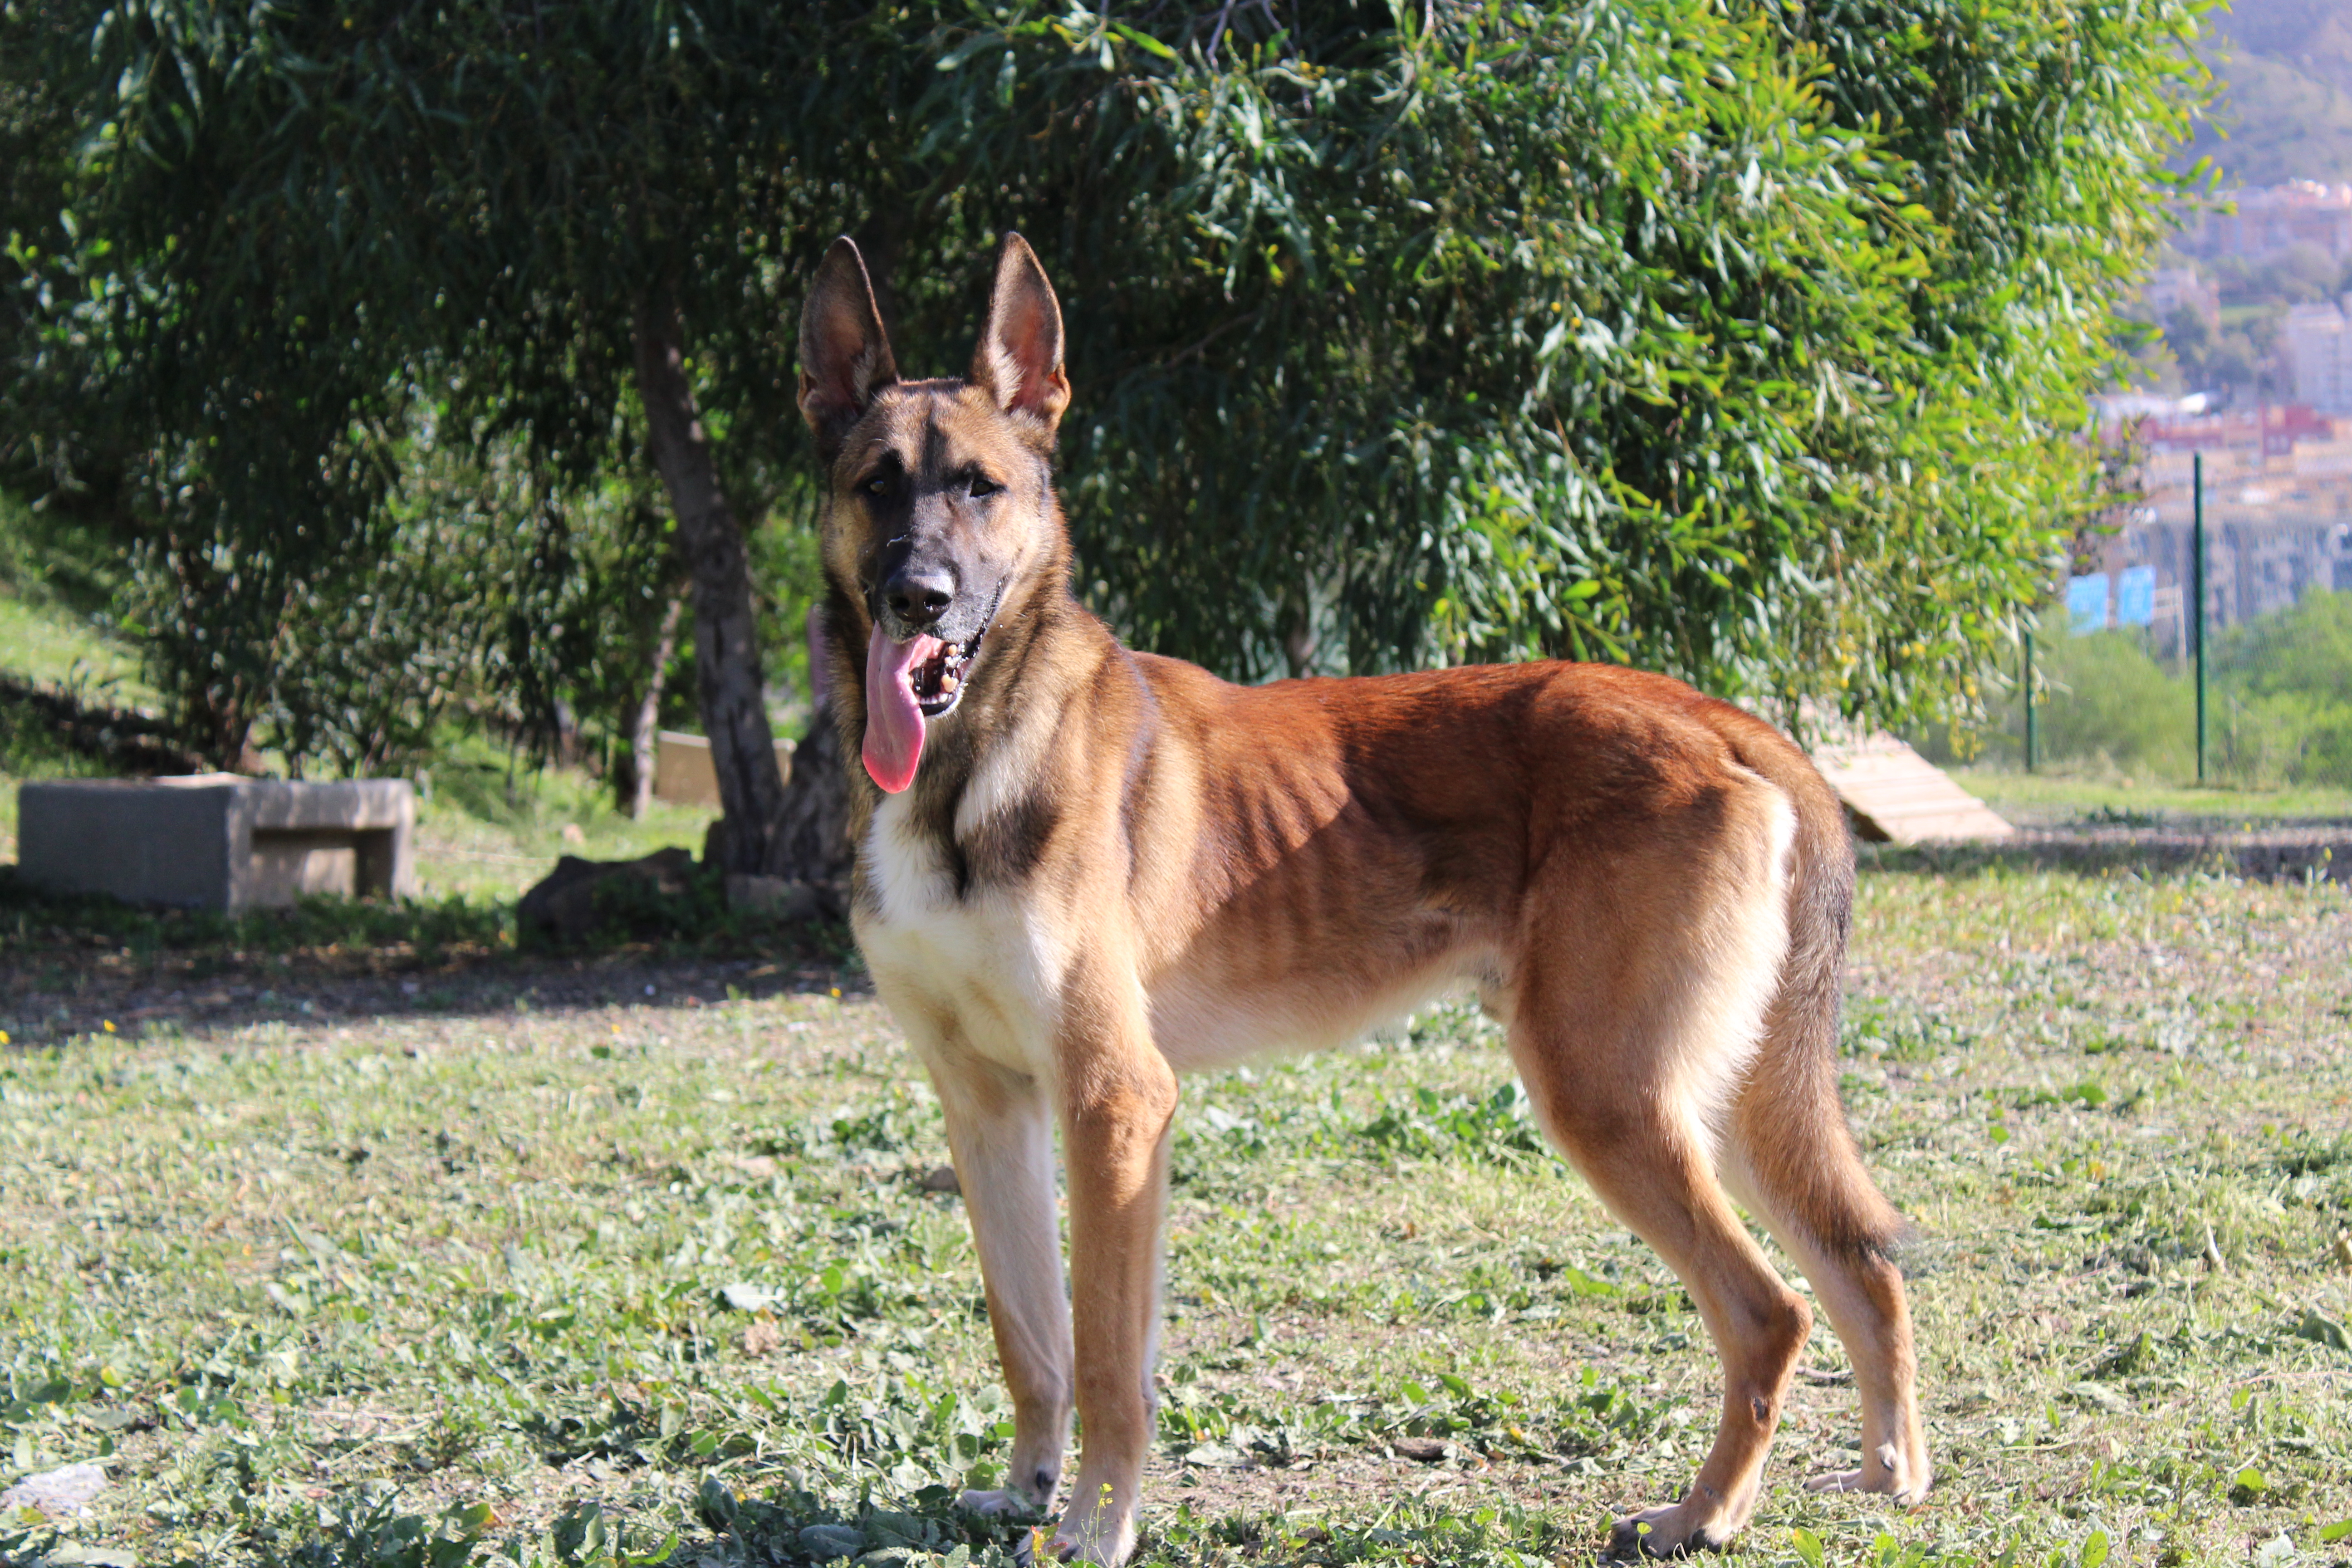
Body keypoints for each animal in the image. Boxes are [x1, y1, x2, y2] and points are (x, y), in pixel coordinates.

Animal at [795, 236, 1928, 1568]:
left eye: (979, 488)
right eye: (877, 484)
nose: (917, 597)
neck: (971, 762)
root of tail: (1725, 720)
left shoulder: (1114, 1102)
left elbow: (1110, 1355)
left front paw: (1096, 1522)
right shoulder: (988, 1106)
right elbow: (1030, 1338)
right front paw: (1025, 1488)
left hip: (1609, 1095)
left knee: (1768, 1312)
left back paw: (1699, 1515)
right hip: (1724, 1098)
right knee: (1859, 1262)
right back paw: (1892, 1473)